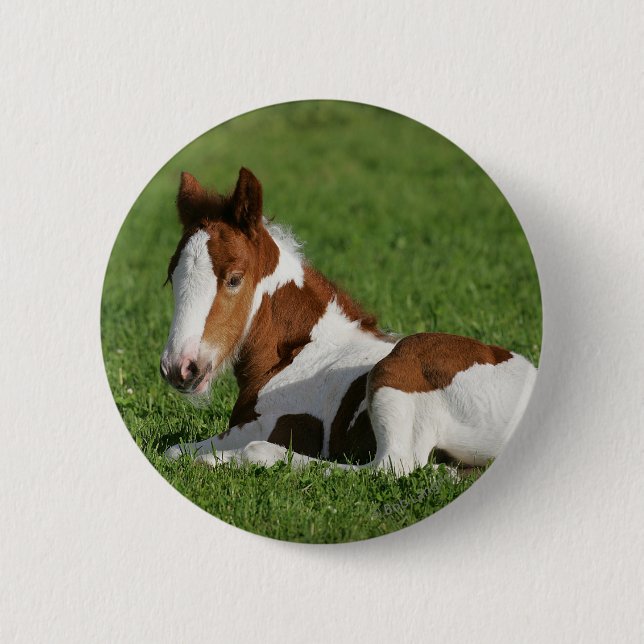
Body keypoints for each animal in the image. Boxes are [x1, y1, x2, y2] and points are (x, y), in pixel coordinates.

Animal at [160, 167, 537, 476]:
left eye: (235, 279)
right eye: (170, 278)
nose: (180, 368)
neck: (299, 352)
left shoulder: (271, 424)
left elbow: (180, 450)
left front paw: (217, 458)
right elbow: (172, 451)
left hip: (397, 369)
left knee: (390, 466)